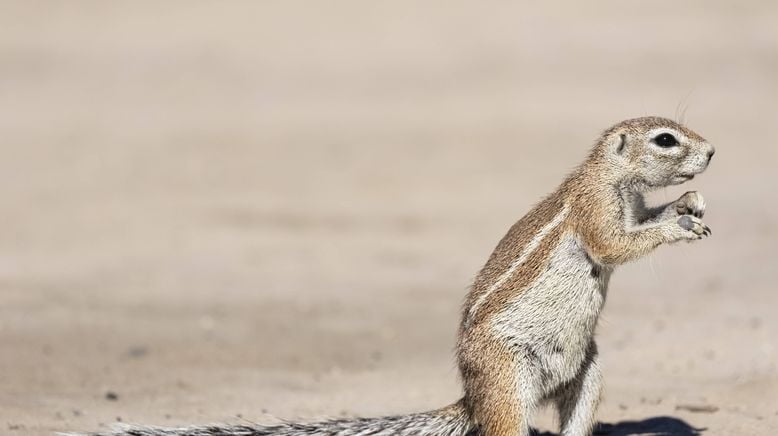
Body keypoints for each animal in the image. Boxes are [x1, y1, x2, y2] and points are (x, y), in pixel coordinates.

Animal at [74, 116, 716, 436]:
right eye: (666, 139)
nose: (711, 153)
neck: (609, 175)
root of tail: (472, 398)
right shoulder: (595, 211)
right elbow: (615, 245)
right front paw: (680, 226)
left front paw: (688, 206)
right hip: (509, 378)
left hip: (587, 372)